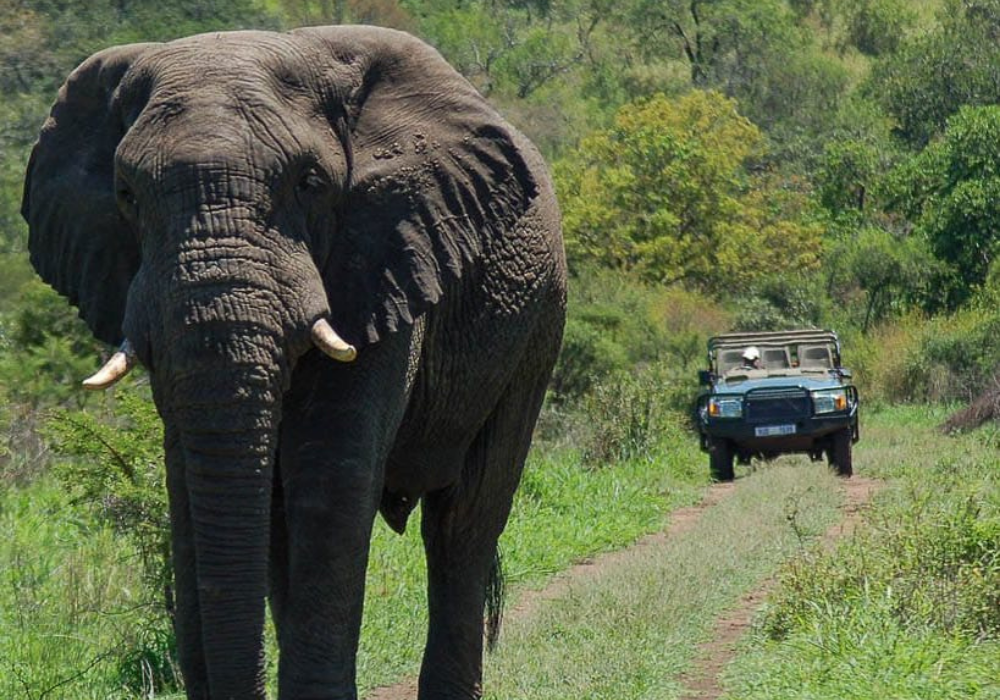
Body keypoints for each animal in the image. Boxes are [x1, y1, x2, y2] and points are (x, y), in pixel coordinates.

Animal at [22, 25, 566, 700]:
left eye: (309, 183)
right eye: (126, 195)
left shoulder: (384, 252)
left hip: (537, 322)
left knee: (463, 524)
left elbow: (330, 475)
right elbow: (191, 480)